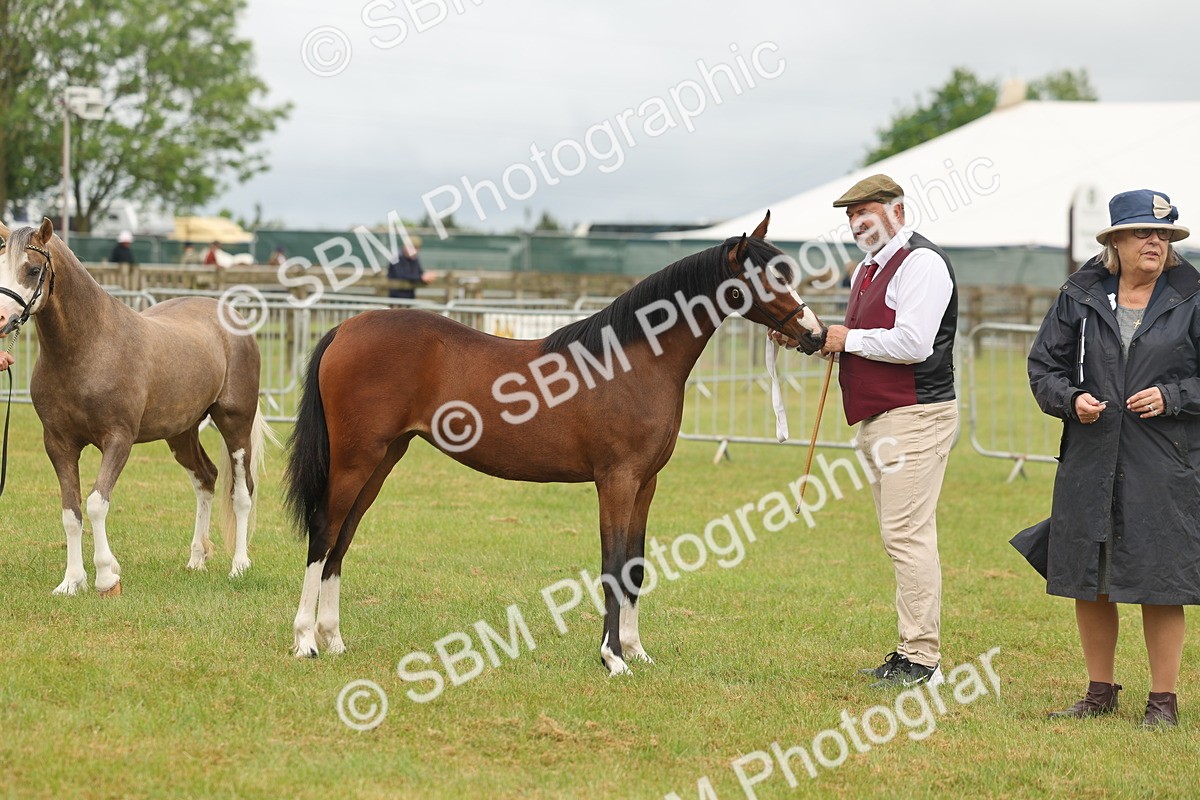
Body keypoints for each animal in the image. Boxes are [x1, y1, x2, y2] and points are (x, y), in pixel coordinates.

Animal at [0, 218, 274, 596]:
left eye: (33, 269)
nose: (0, 319)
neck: (89, 348)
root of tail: (233, 319)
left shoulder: (118, 440)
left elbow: (96, 504)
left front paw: (105, 576)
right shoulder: (58, 444)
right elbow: (71, 512)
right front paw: (71, 581)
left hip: (236, 423)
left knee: (242, 491)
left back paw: (239, 566)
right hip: (182, 433)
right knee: (205, 479)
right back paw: (196, 559)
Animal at [284, 212, 826, 675]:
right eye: (767, 277)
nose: (816, 335)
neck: (634, 361)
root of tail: (345, 328)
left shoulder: (646, 484)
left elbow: (636, 566)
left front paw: (636, 651)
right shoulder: (616, 481)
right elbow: (612, 565)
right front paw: (612, 659)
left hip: (381, 461)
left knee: (342, 538)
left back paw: (334, 640)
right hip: (356, 460)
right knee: (323, 531)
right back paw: (306, 641)